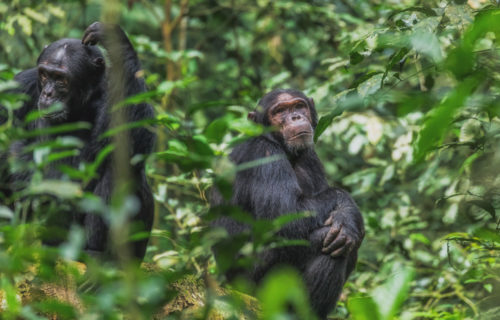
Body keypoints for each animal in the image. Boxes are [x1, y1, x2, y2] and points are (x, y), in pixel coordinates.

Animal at [4, 22, 154, 262]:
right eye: (44, 75)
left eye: (61, 79)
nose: (47, 94)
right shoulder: (18, 87)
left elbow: (137, 137)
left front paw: (117, 44)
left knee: (119, 164)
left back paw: (100, 256)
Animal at [210, 89, 364, 318]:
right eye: (280, 111)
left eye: (299, 106)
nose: (296, 117)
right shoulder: (264, 154)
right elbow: (285, 213)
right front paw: (347, 206)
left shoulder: (310, 156)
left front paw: (346, 215)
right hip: (260, 285)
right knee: (330, 241)